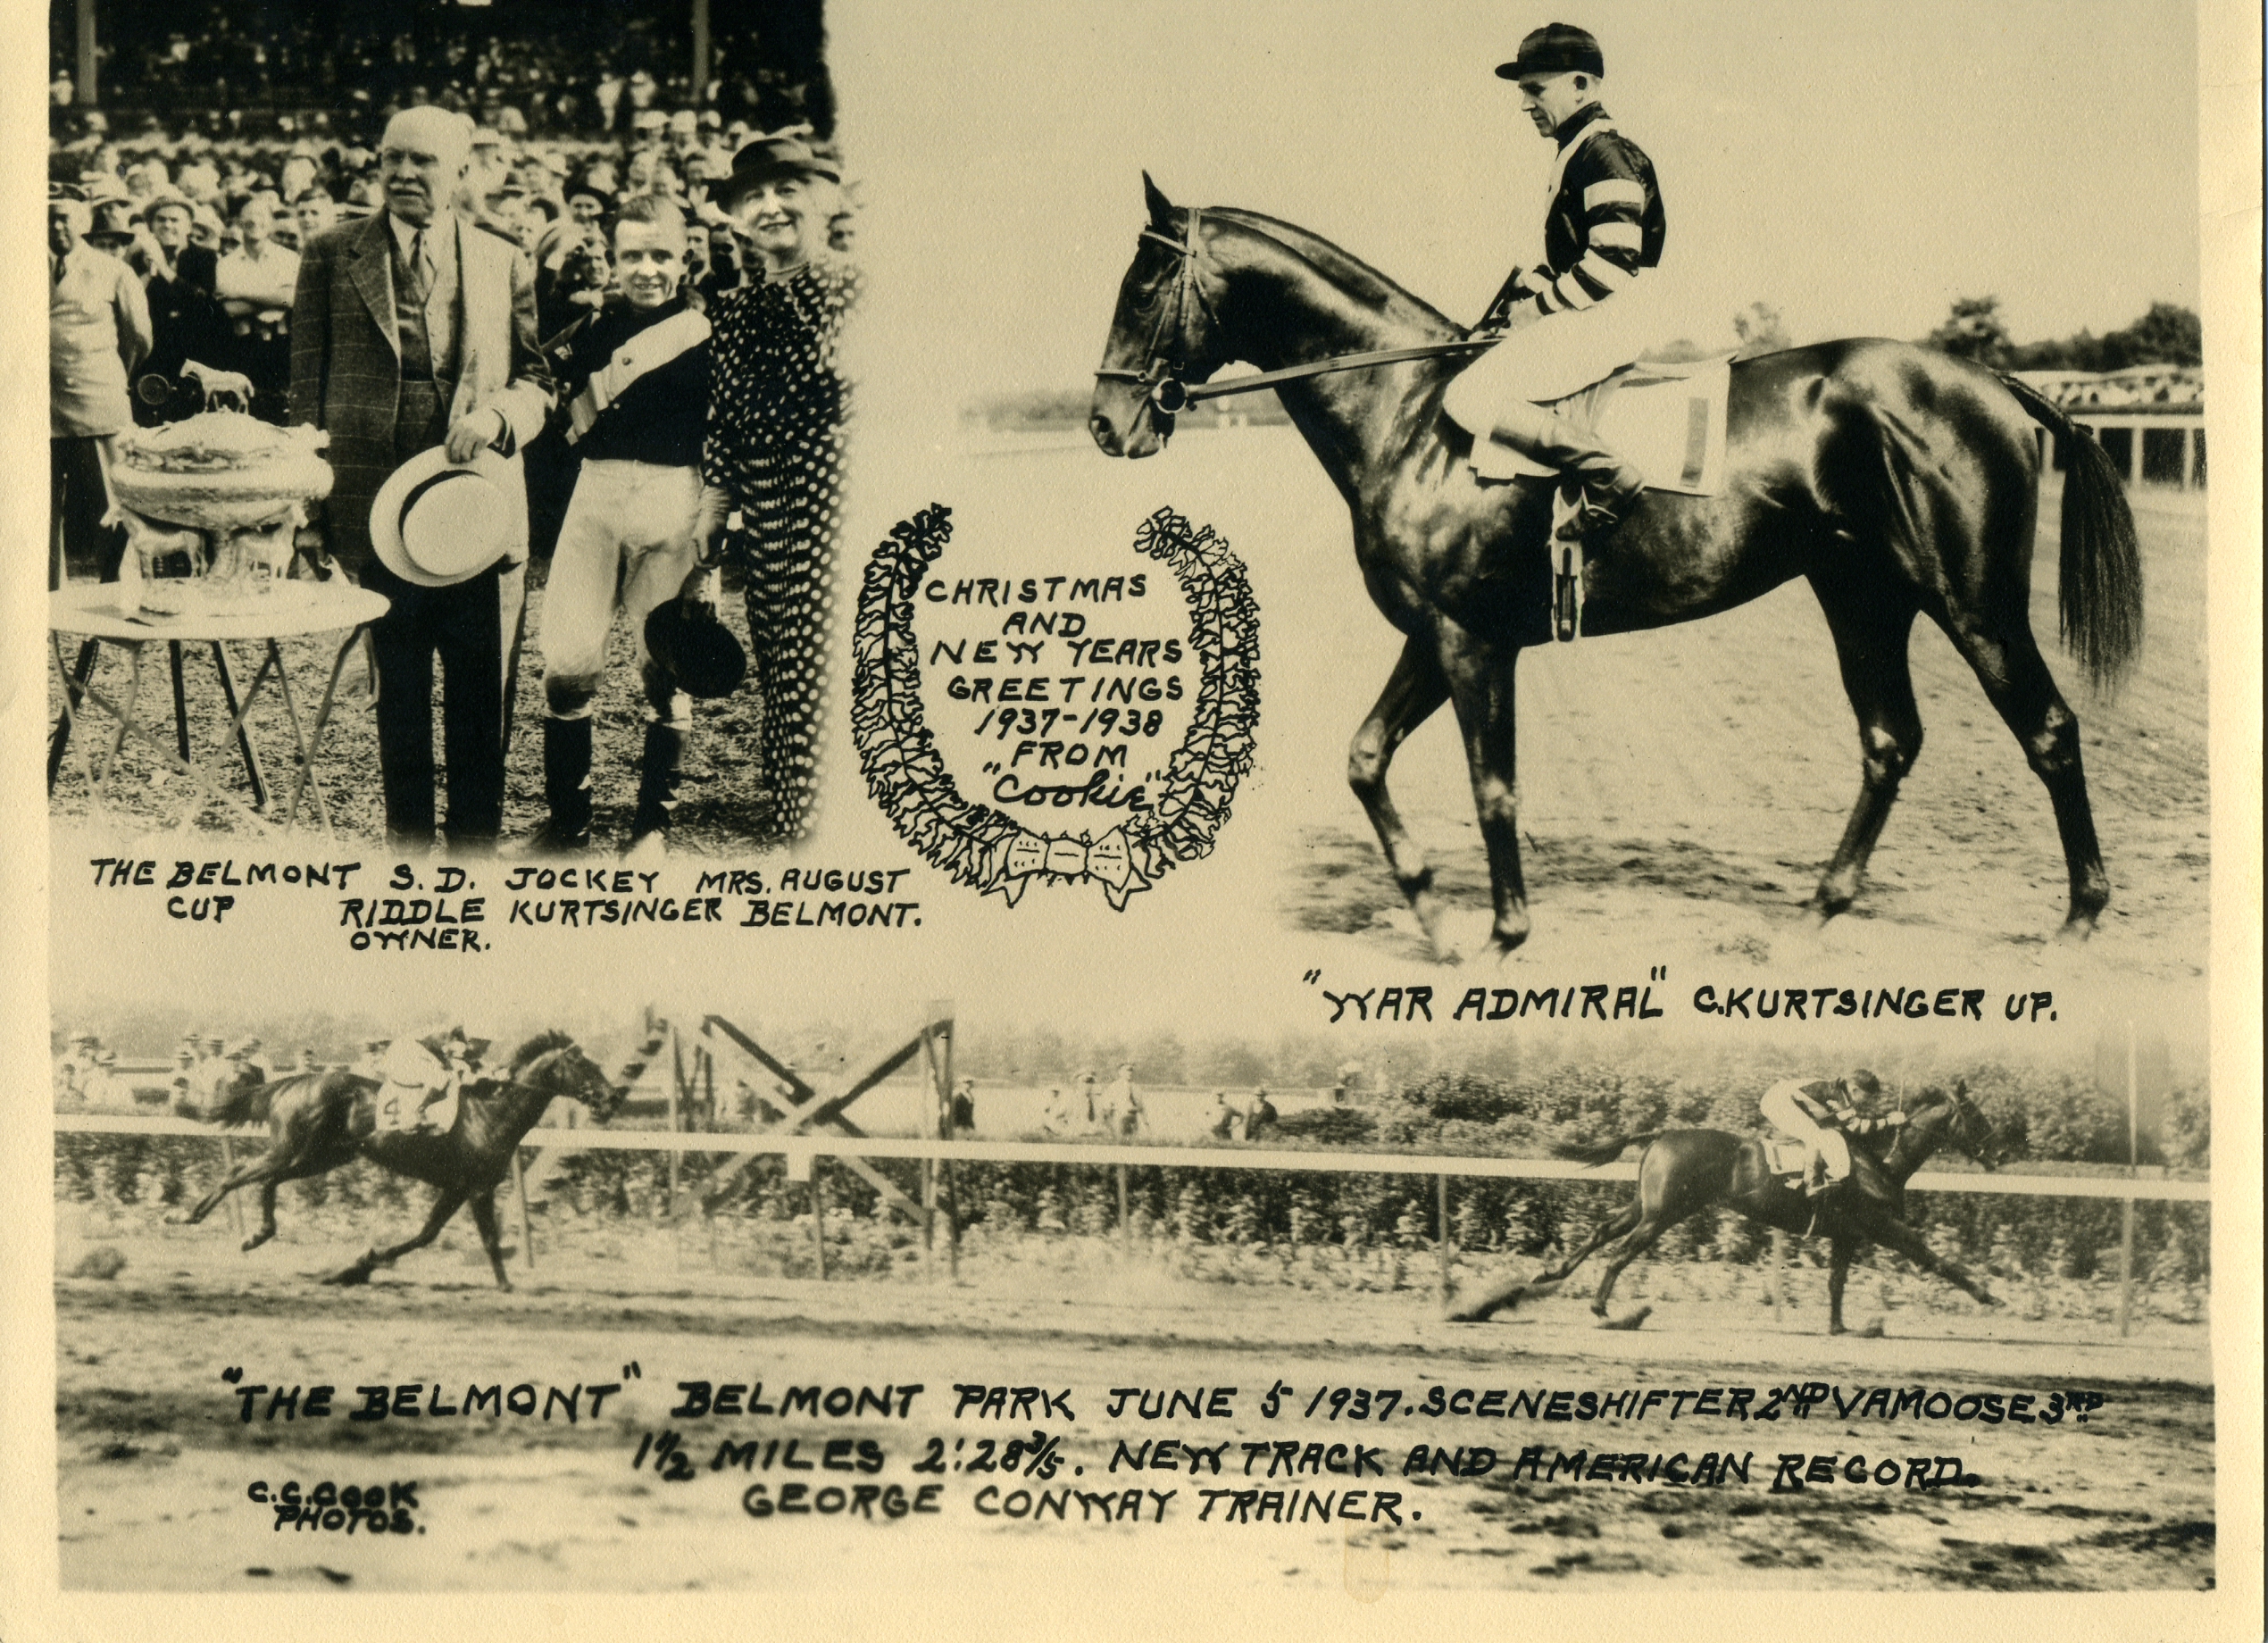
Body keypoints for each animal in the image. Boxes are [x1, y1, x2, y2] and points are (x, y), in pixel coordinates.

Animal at [179, 1034, 630, 1289]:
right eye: (584, 1065)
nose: (612, 1098)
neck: (491, 1113)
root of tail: (292, 1081)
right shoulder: (478, 1187)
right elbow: (487, 1239)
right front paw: (506, 1287)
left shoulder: (457, 1188)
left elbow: (425, 1235)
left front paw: (358, 1267)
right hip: (293, 1149)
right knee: (239, 1173)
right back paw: (189, 1217)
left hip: (321, 1157)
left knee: (264, 1180)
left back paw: (255, 1233)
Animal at [1088, 174, 2131, 957]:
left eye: (1141, 282)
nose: (1105, 422)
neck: (1414, 413)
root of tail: (1986, 379)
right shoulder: (1435, 636)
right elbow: (1364, 757)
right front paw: (1433, 918)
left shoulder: (1470, 644)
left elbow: (1493, 789)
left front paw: (1505, 934)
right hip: (1862, 600)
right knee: (1890, 741)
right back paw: (1819, 911)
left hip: (1973, 602)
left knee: (2045, 728)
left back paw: (2079, 919)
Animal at [1451, 1080, 2005, 1334]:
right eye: (1977, 1117)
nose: (2000, 1154)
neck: (1877, 1160)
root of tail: (1662, 1134)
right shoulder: (1881, 1226)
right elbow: (1936, 1259)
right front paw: (1990, 1297)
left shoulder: (1847, 1235)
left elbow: (1836, 1283)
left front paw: (1841, 1327)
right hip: (1665, 1213)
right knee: (1623, 1250)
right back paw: (1605, 1308)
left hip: (1647, 1203)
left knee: (1603, 1231)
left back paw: (1544, 1277)